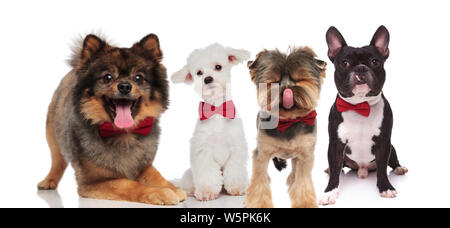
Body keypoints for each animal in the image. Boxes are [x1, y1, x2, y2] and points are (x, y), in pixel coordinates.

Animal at [37, 33, 186, 205]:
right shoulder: (94, 182)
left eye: (138, 77)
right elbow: (130, 184)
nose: (125, 86)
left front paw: (172, 187)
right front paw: (159, 192)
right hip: (52, 136)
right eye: (107, 77)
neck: (124, 134)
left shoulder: (143, 166)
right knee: (57, 161)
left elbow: (156, 176)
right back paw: (49, 181)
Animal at [171, 43, 250, 200]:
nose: (207, 79)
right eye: (199, 72)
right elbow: (207, 174)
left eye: (218, 67)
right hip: (189, 174)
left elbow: (235, 170)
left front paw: (237, 188)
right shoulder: (203, 151)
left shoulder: (236, 148)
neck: (217, 109)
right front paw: (206, 192)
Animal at [244, 47, 326, 208]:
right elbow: (259, 180)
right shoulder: (261, 153)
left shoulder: (306, 154)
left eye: (300, 79)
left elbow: (303, 180)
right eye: (274, 82)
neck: (288, 121)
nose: (287, 89)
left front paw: (304, 203)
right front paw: (259, 203)